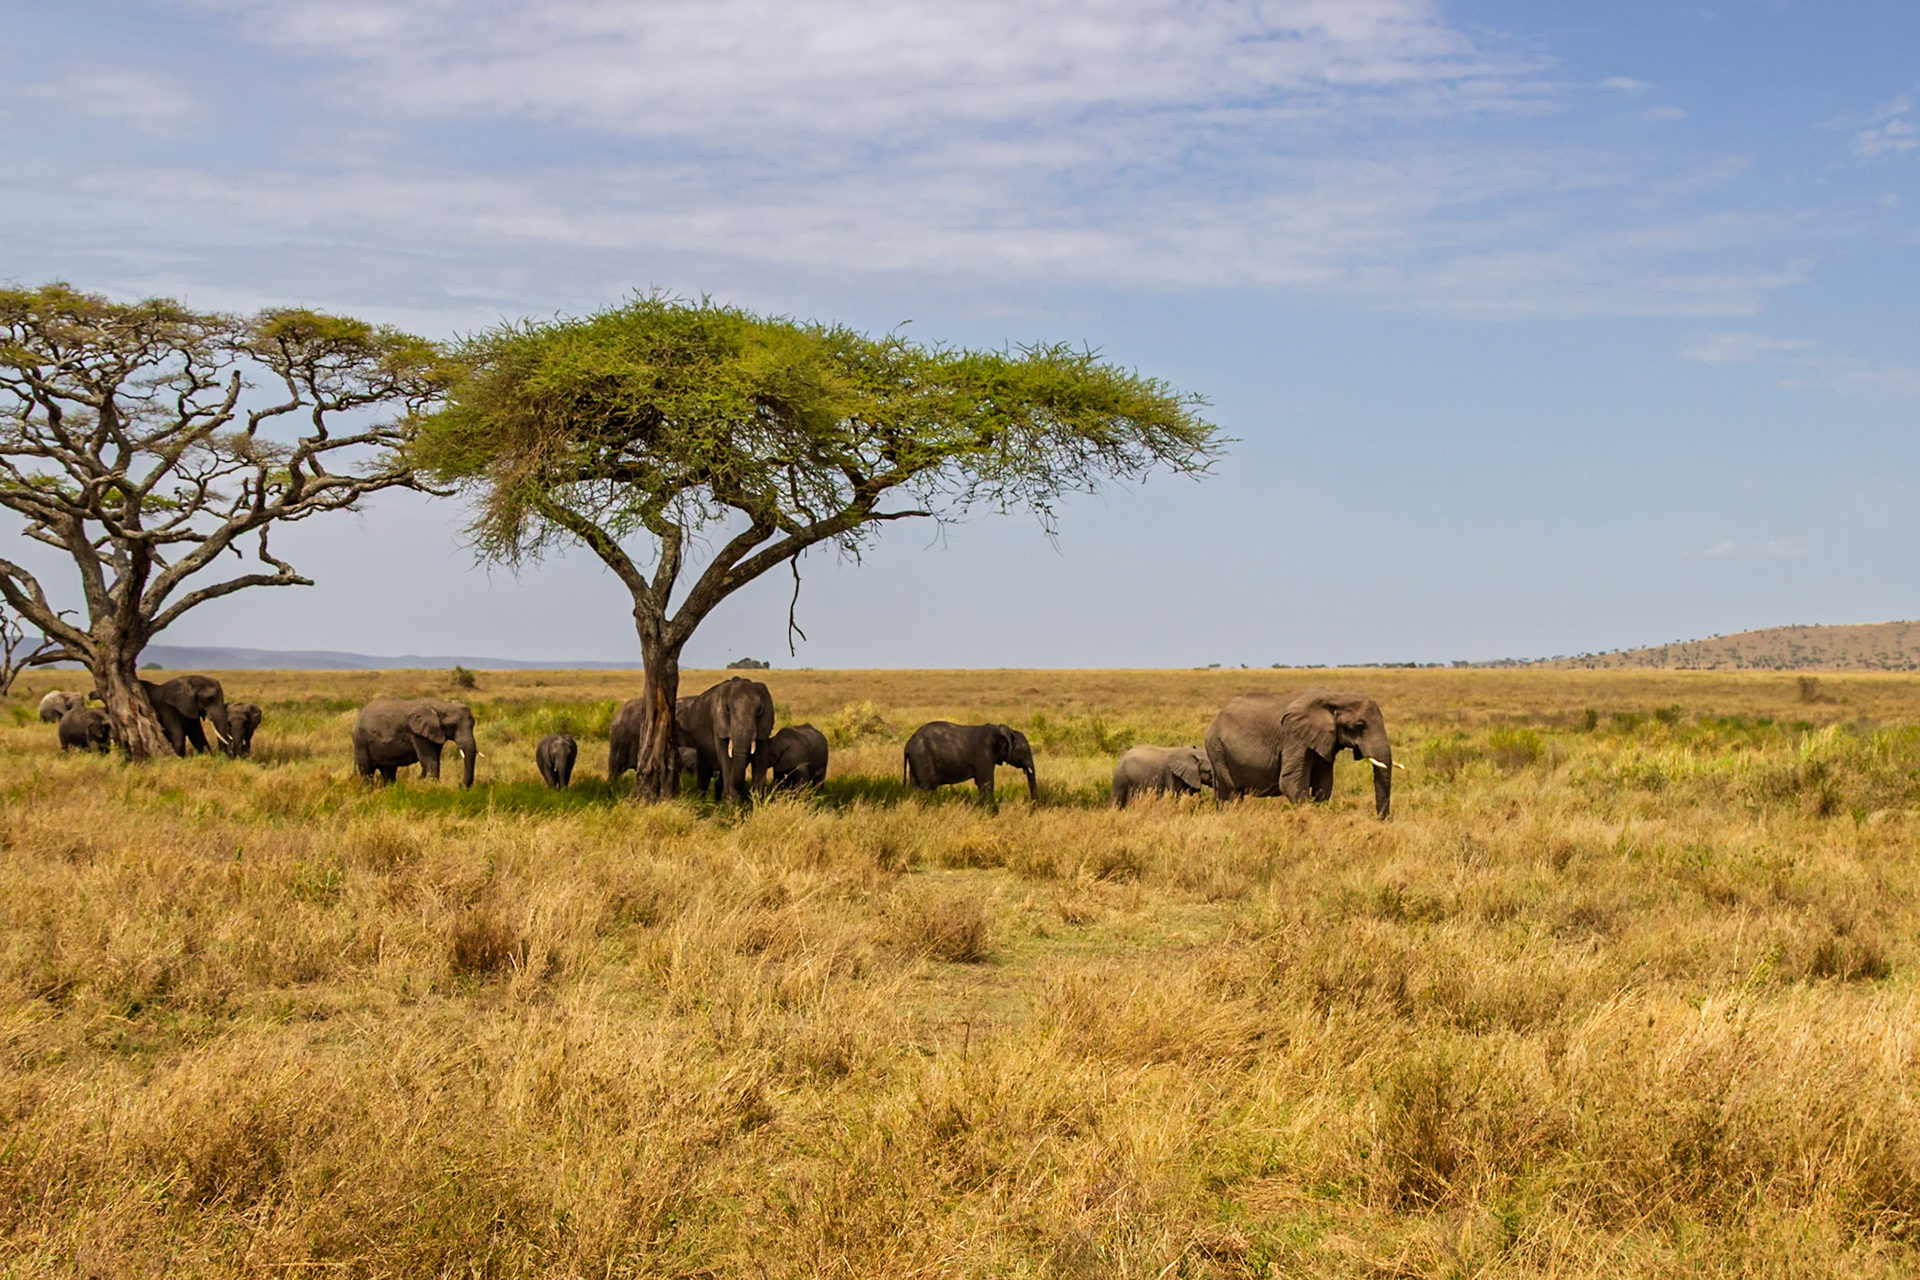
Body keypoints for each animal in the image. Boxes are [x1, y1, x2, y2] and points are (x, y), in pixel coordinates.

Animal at [903, 721, 1037, 807]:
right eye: (1025, 751)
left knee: (915, 787)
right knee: (928, 787)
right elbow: (985, 783)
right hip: (922, 757)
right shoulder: (984, 754)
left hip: (916, 761)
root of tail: (908, 744)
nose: (1032, 809)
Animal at [1205, 689, 1394, 818]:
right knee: (1231, 792)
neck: (1336, 696)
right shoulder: (1294, 738)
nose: (1380, 819)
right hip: (1217, 749)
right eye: (1359, 725)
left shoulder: (1325, 741)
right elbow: (1291, 782)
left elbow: (1324, 783)